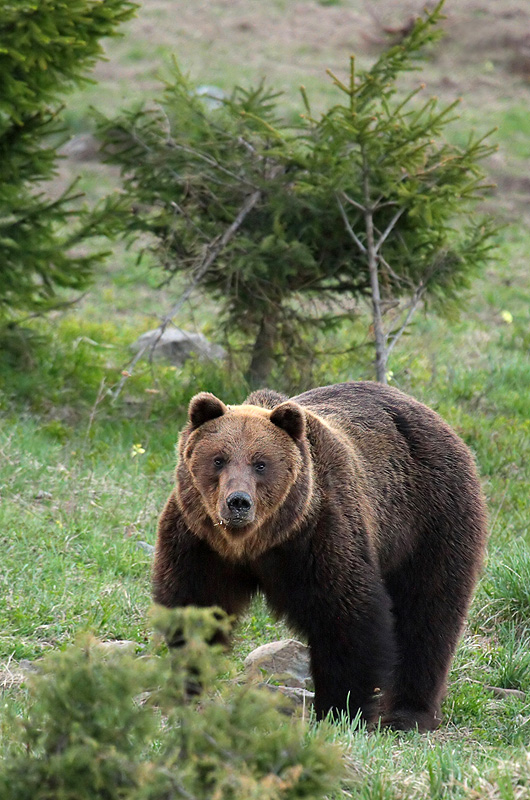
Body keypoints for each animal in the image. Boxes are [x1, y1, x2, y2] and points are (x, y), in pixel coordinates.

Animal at [151, 382, 484, 732]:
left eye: (260, 463)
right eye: (219, 459)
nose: (238, 502)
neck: (252, 544)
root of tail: (433, 415)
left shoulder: (318, 535)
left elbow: (347, 619)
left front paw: (341, 710)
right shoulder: (199, 542)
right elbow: (194, 609)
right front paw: (187, 686)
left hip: (431, 520)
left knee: (428, 614)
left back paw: (408, 713)